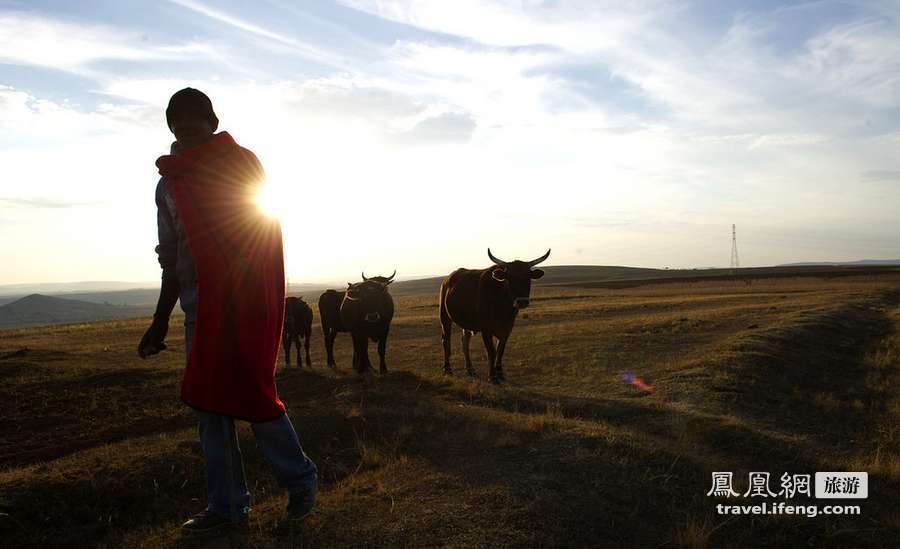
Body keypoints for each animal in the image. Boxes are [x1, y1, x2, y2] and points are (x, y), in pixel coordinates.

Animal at [442, 248, 552, 382]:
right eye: (509, 278)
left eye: (528, 277)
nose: (521, 301)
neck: (503, 307)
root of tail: (448, 278)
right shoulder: (486, 330)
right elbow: (491, 351)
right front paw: (492, 376)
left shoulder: (507, 329)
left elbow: (500, 350)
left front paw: (499, 373)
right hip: (444, 317)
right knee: (446, 340)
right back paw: (447, 369)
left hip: (466, 323)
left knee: (465, 342)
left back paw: (470, 369)